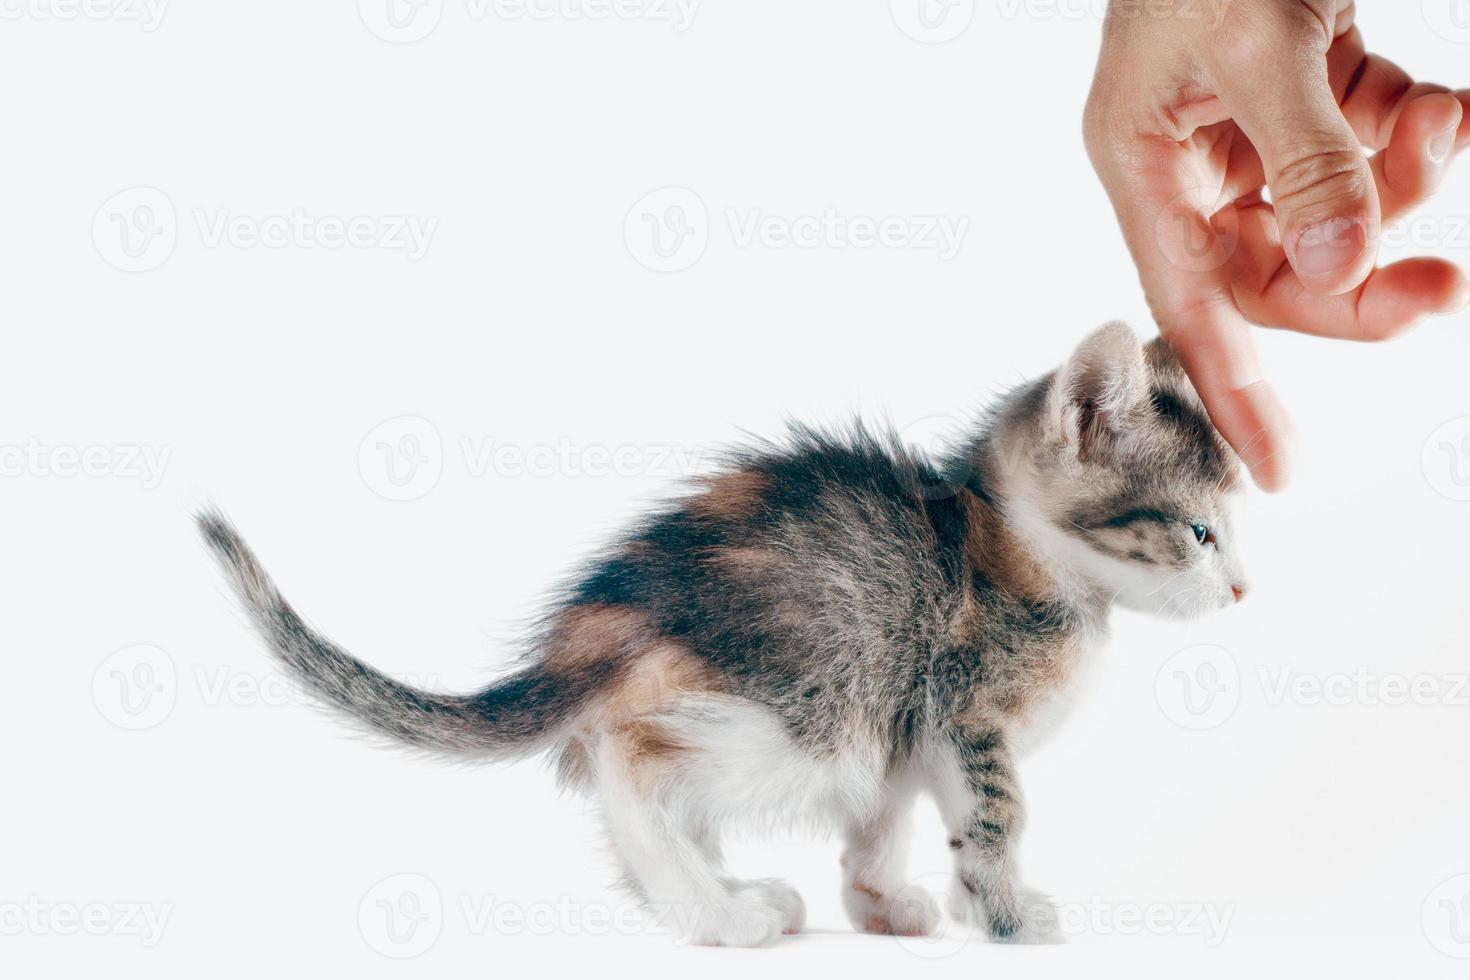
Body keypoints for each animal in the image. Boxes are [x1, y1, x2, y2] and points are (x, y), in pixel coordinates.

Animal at [198, 326, 1252, 946]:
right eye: (1200, 533)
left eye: (1235, 534)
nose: (1243, 588)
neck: (1028, 551)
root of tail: (585, 635)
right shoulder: (964, 709)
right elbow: (994, 817)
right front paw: (1006, 914)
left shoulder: (904, 731)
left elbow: (883, 821)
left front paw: (886, 907)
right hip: (800, 703)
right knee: (629, 762)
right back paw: (712, 913)